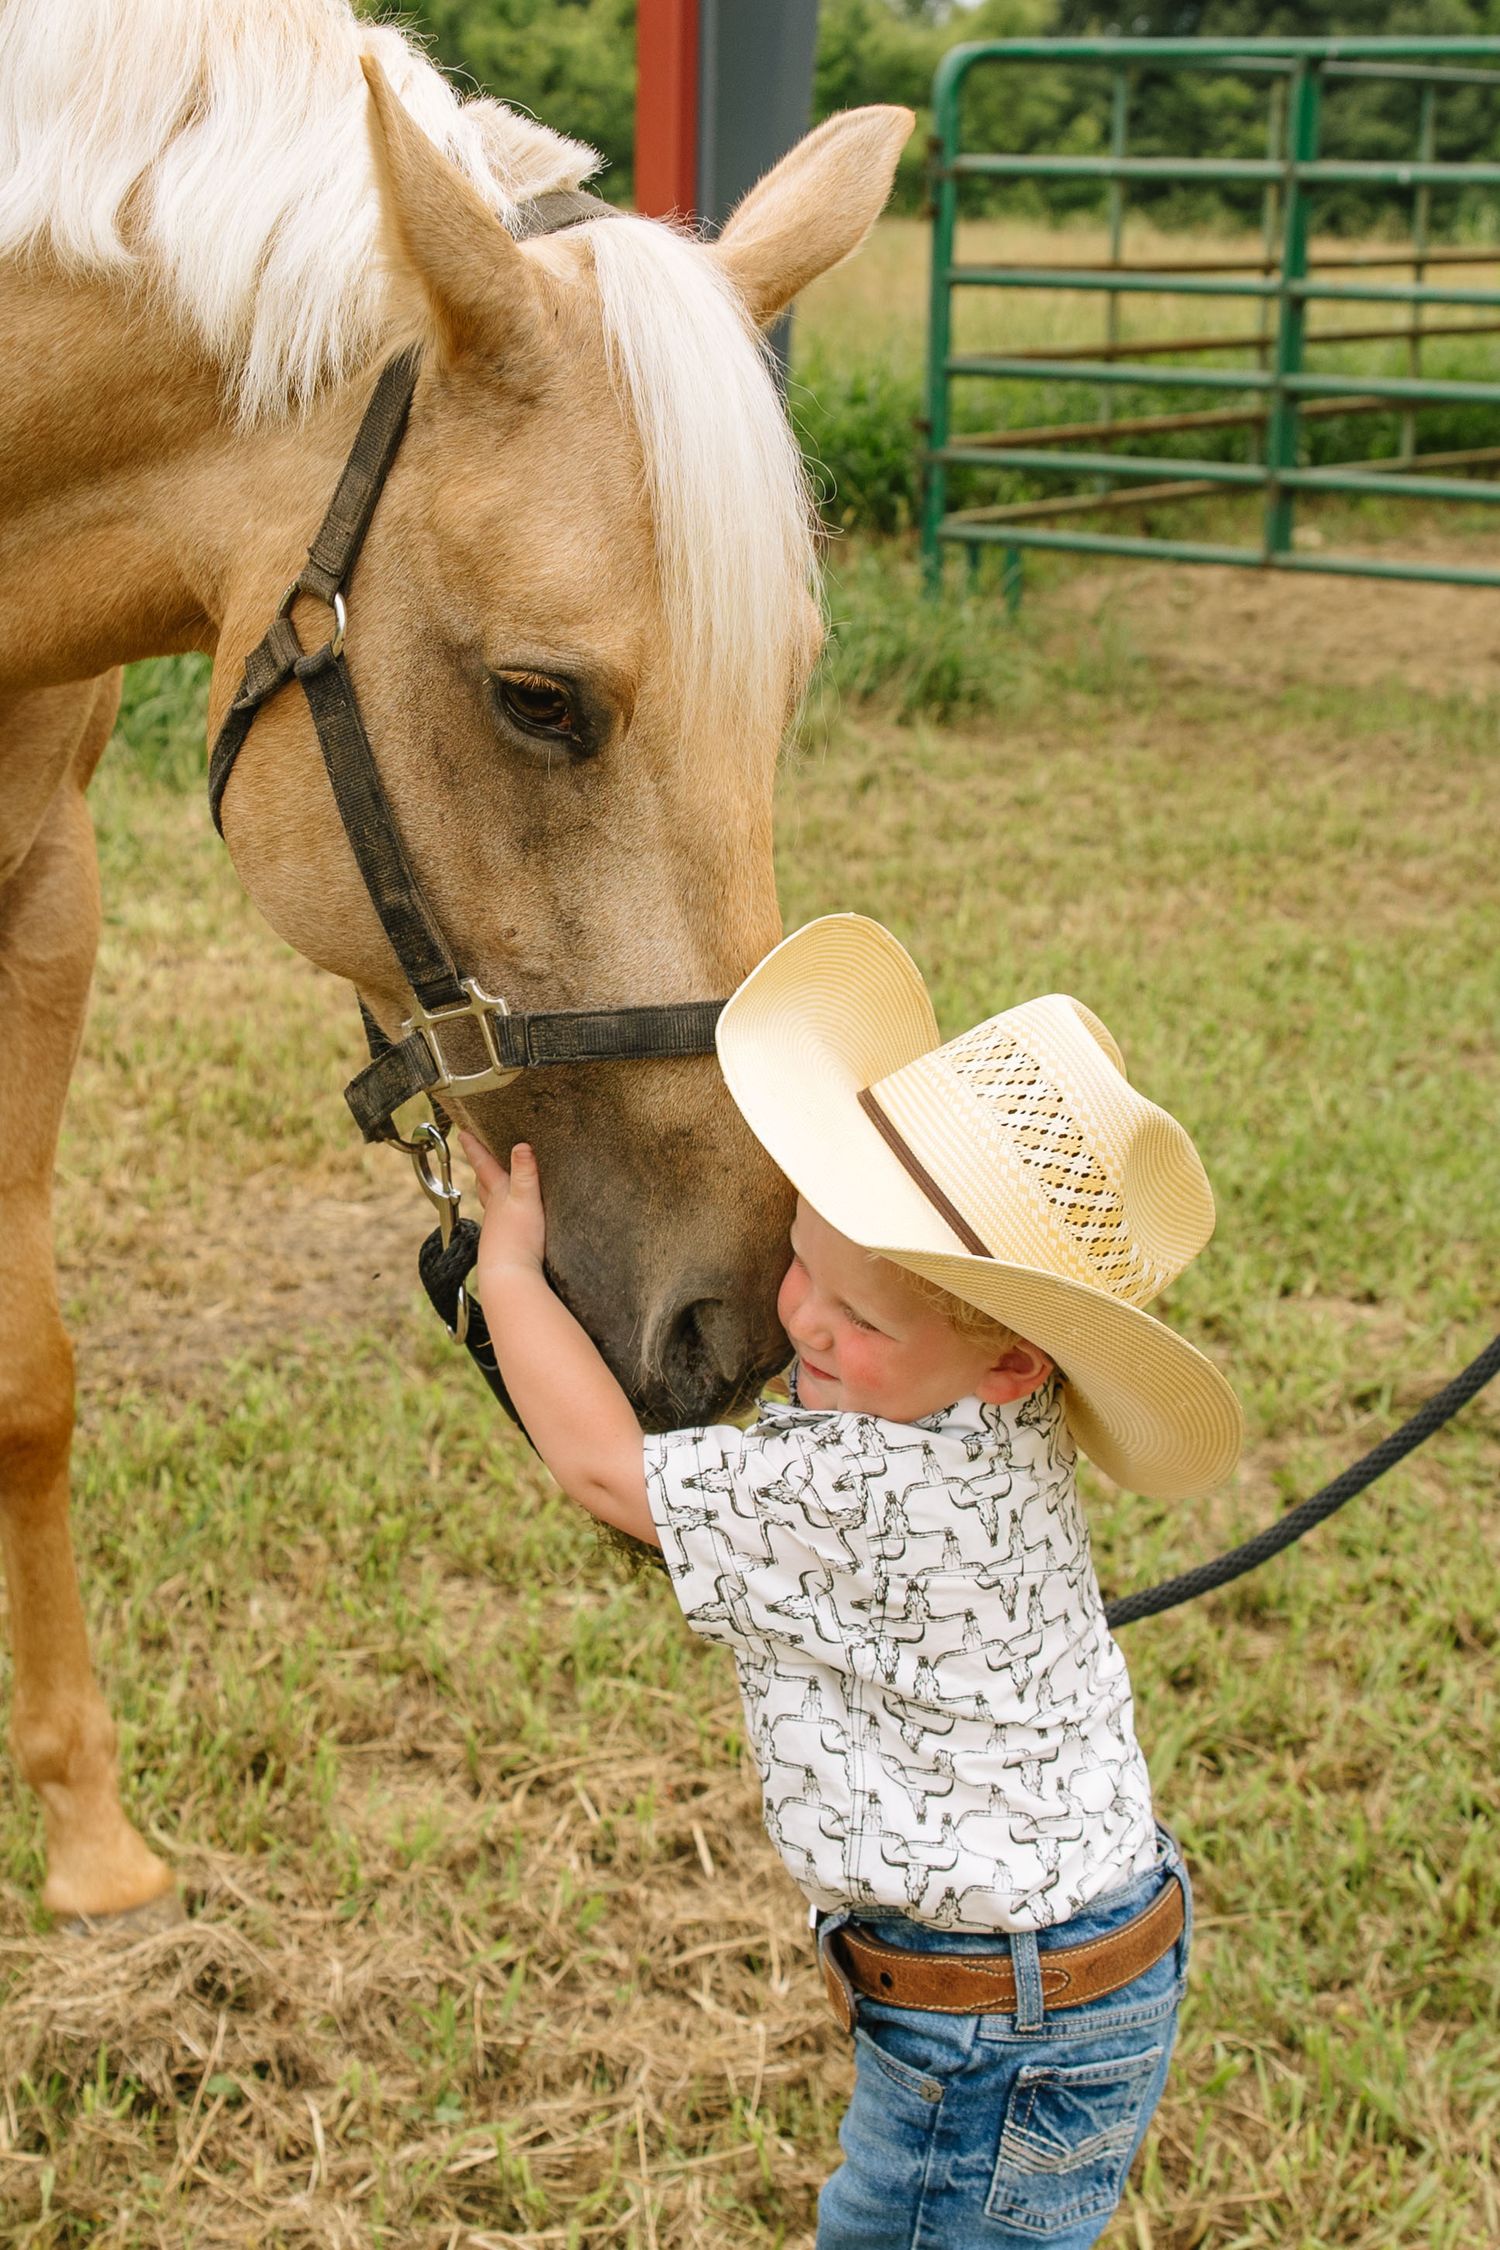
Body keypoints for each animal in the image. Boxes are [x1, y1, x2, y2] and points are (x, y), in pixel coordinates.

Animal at [0, 0, 910, 1921]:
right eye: (539, 699)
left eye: (788, 684)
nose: (732, 1315)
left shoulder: (45, 894)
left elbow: (28, 1375)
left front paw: (88, 1838)